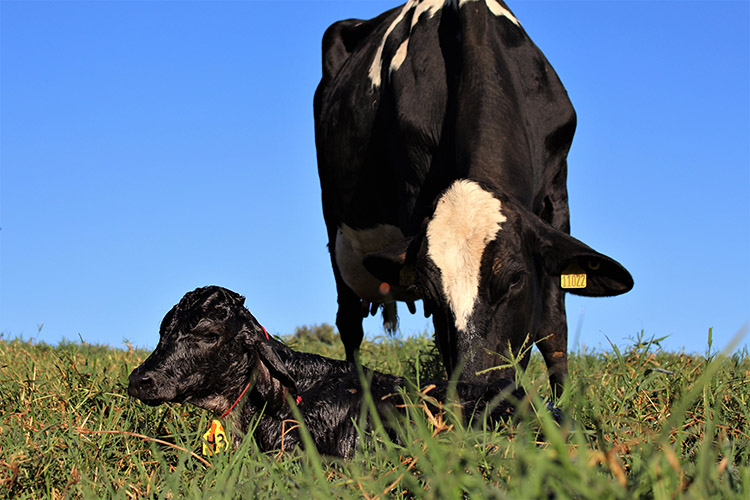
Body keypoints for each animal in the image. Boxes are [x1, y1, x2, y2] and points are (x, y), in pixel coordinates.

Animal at [312, 0, 636, 398]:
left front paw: (562, 407)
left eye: (515, 280)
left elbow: (553, 328)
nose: (478, 389)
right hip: (334, 224)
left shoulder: (557, 194)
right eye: (429, 292)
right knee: (349, 322)